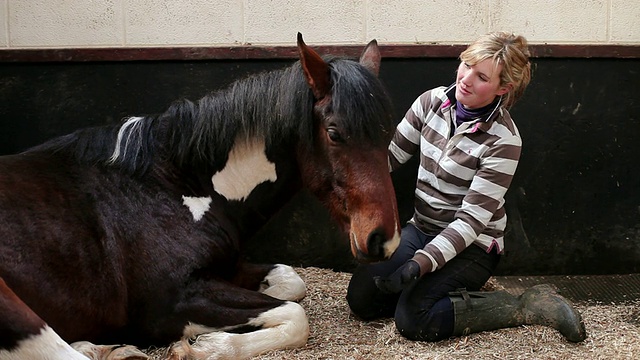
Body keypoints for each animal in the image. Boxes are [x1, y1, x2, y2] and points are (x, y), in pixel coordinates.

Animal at [0, 32, 400, 358]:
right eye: (334, 133)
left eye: (388, 132)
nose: (384, 239)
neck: (175, 185)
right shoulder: (172, 303)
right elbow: (294, 315)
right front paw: (207, 347)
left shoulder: (227, 269)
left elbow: (291, 283)